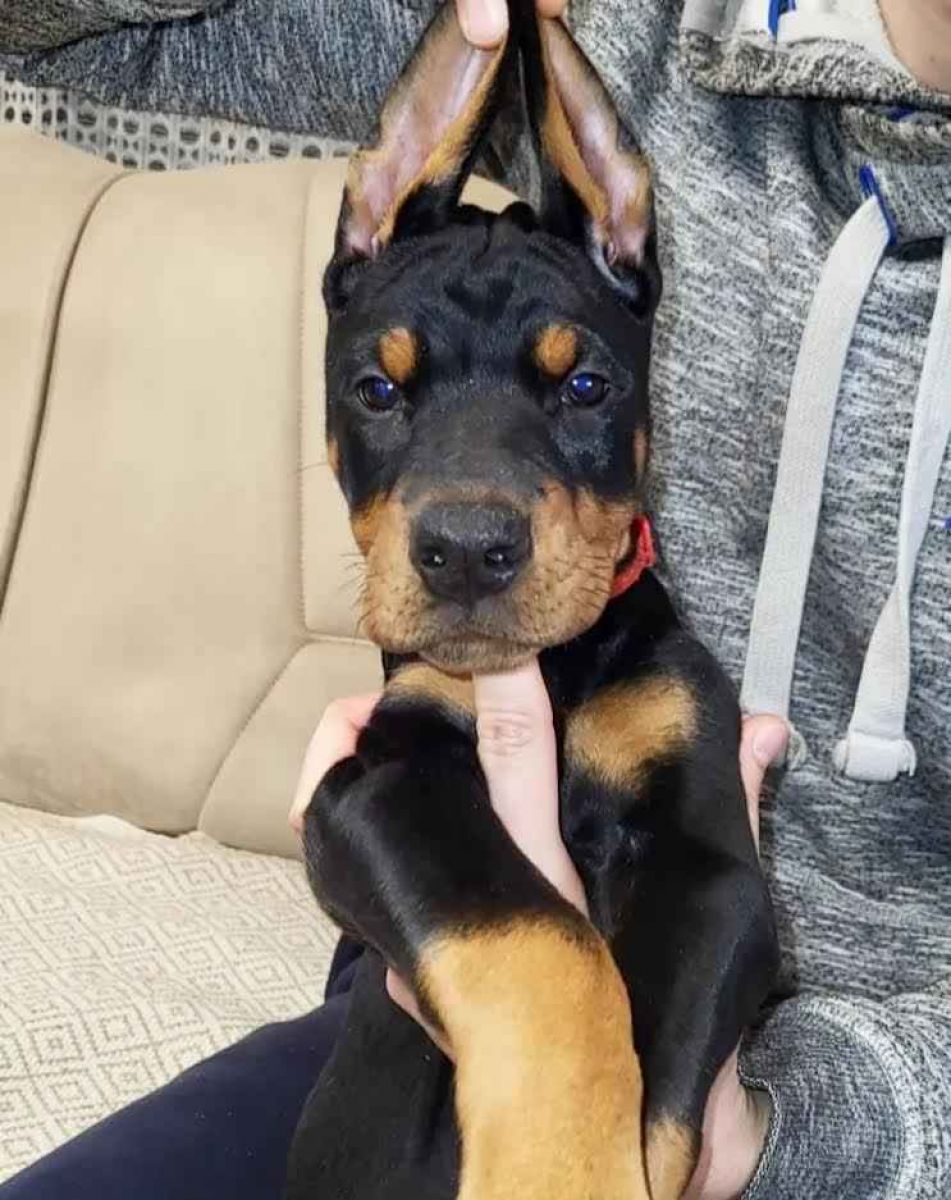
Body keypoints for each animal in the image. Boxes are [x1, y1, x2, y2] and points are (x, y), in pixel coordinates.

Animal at [286, 3, 778, 1197]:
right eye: (377, 388)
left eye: (586, 387)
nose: (466, 553)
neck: (547, 672)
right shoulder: (378, 782)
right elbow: (546, 946)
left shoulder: (711, 865)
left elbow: (655, 1091)